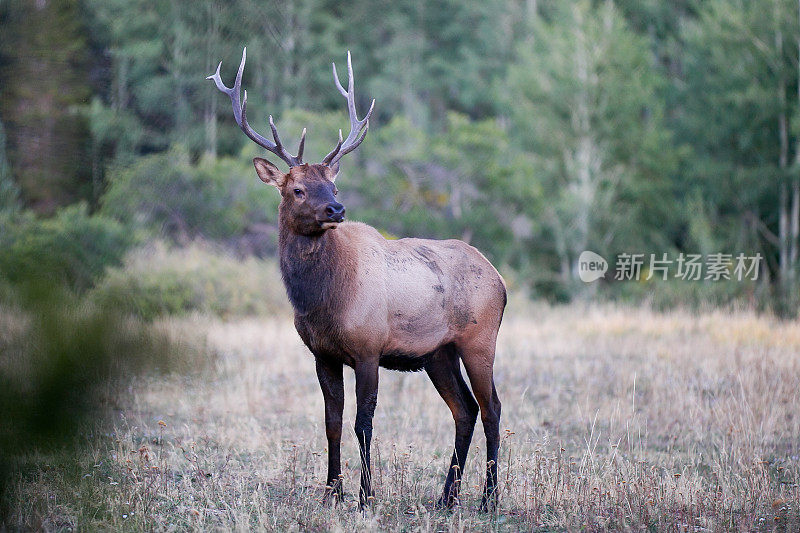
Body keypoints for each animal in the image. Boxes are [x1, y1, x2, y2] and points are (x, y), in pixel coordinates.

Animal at [208, 47, 506, 510]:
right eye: (296, 189)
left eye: (332, 185)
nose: (337, 208)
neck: (321, 302)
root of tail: (501, 281)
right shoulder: (321, 354)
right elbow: (332, 421)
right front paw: (332, 492)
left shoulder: (368, 348)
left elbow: (363, 422)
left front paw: (366, 496)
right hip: (438, 353)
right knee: (465, 409)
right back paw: (446, 497)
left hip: (479, 340)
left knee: (492, 408)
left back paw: (488, 499)